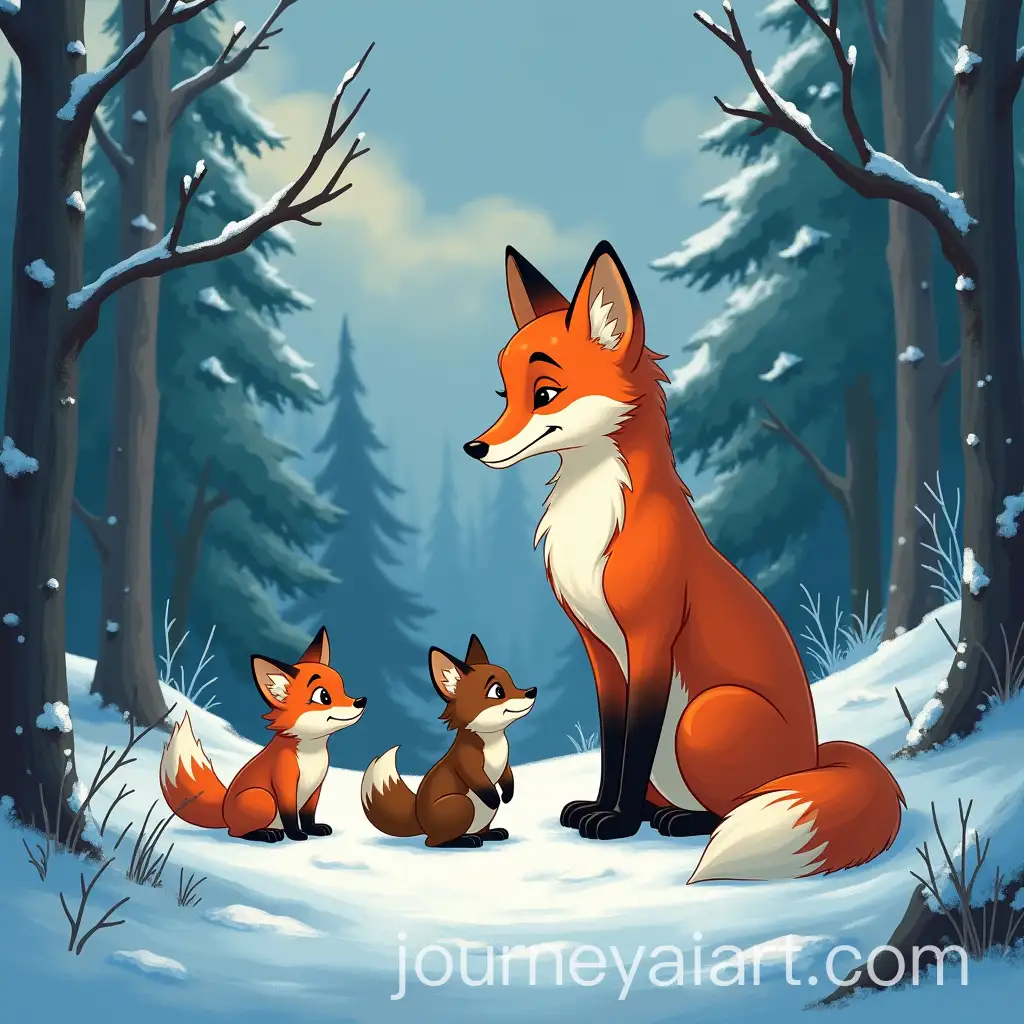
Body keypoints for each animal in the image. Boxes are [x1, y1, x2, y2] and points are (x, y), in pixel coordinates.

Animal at [159, 627, 365, 842]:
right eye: (324, 696)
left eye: (343, 687)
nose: (361, 701)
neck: (311, 754)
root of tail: (224, 809)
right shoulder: (285, 784)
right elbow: (290, 815)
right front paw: (296, 834)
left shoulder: (315, 788)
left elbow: (308, 814)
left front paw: (313, 829)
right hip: (263, 798)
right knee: (236, 832)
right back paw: (267, 833)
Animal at [361, 635, 536, 848]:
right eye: (498, 691)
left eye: (513, 682)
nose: (532, 691)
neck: (493, 742)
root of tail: (419, 819)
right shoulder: (468, 761)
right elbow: (479, 782)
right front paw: (495, 798)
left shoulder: (505, 765)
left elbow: (508, 777)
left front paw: (507, 795)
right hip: (462, 805)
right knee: (434, 842)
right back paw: (467, 840)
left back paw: (491, 834)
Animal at [460, 239, 905, 883]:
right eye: (504, 395)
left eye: (544, 394)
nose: (475, 448)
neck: (595, 524)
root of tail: (815, 759)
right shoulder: (601, 651)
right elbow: (614, 743)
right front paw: (600, 807)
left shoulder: (650, 637)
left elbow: (637, 741)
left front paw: (616, 822)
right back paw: (658, 811)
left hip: (703, 719)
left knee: (733, 807)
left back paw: (681, 820)